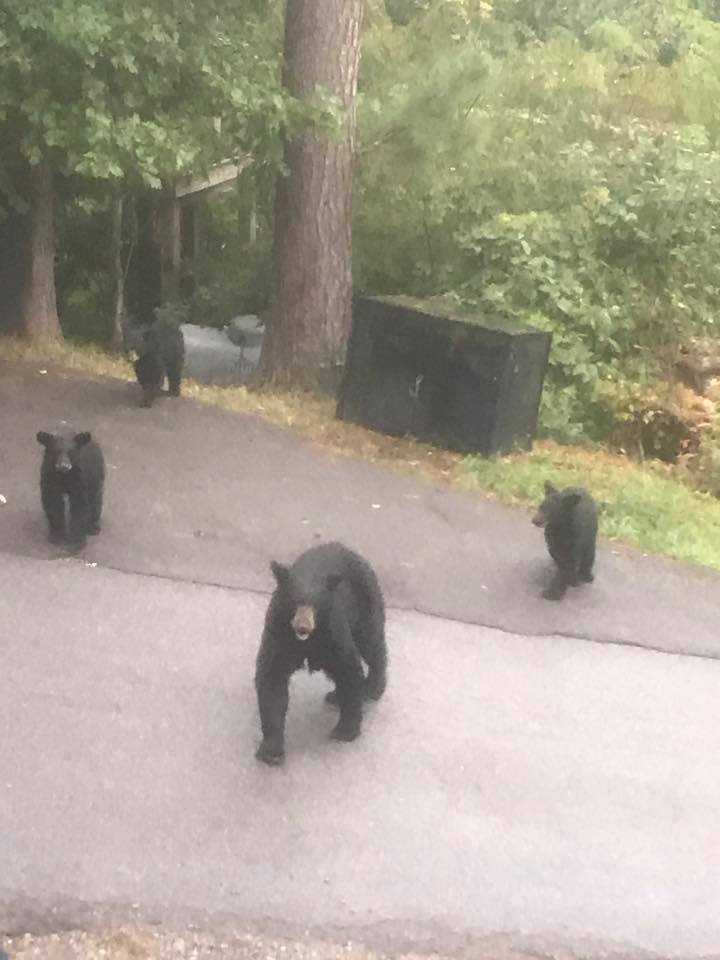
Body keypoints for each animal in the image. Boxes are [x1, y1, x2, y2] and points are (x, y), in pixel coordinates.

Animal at [254, 541, 388, 766]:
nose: (303, 627)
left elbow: (348, 667)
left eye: (315, 605)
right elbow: (272, 677)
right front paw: (271, 751)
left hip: (365, 603)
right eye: (295, 601)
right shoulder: (278, 633)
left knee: (372, 643)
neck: (307, 641)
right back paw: (336, 695)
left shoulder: (333, 630)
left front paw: (345, 730)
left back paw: (372, 688)